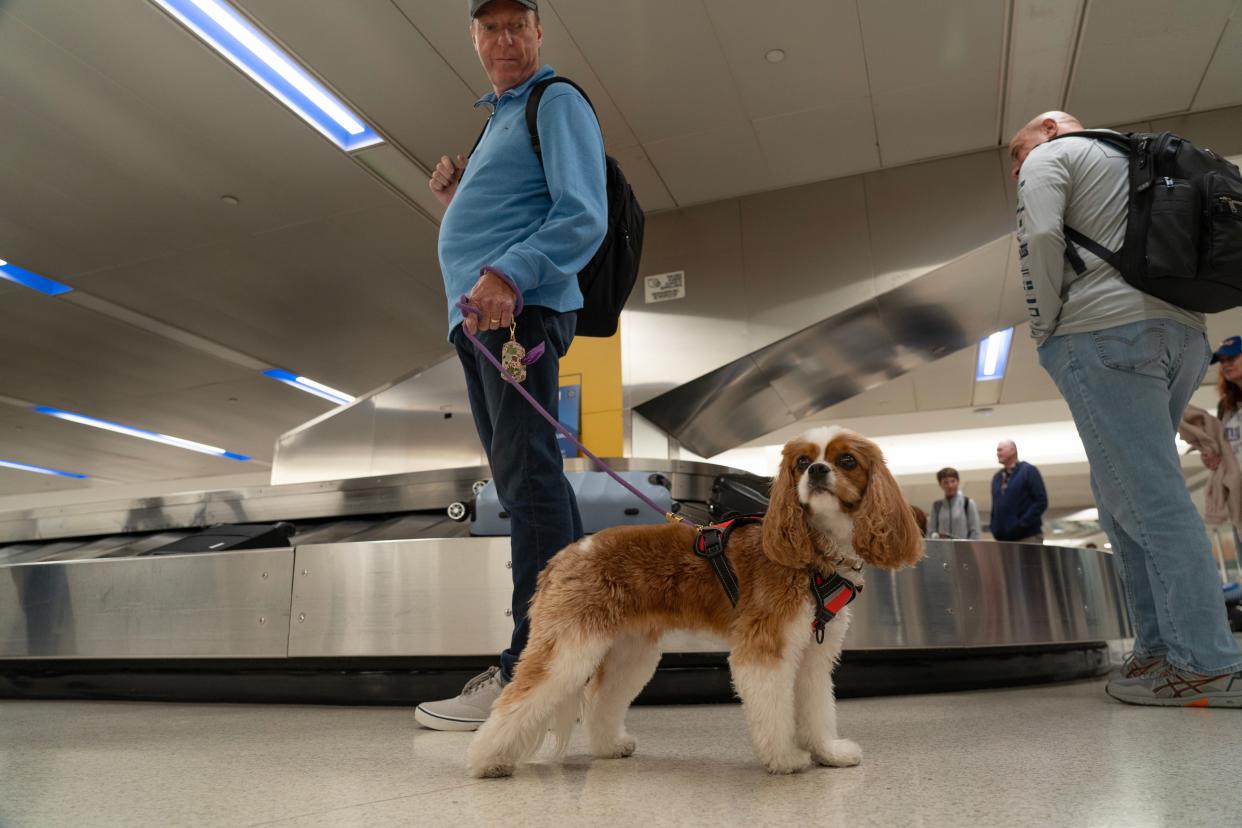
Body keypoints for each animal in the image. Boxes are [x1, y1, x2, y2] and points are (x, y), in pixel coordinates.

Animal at [466, 427, 924, 779]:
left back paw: (609, 746)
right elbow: (775, 711)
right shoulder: (765, 649)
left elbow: (816, 709)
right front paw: (785, 759)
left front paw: (827, 752)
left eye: (847, 460)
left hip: (631, 653)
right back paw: (486, 760)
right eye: (801, 462)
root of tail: (565, 555)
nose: (817, 470)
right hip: (568, 647)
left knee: (601, 701)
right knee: (518, 698)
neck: (813, 549)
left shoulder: (813, 654)